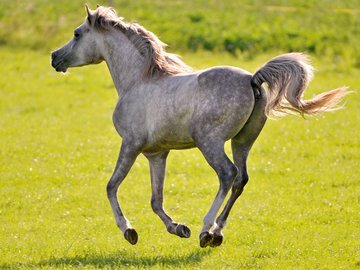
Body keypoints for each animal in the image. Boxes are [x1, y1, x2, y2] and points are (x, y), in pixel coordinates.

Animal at [50, 4, 348, 249]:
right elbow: (155, 200)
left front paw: (129, 231)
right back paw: (217, 232)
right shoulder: (156, 154)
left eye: (77, 34)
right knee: (241, 179)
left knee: (228, 174)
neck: (138, 80)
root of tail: (252, 78)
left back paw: (206, 230)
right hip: (242, 142)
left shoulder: (131, 145)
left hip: (210, 142)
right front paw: (178, 228)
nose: (55, 57)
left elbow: (111, 186)